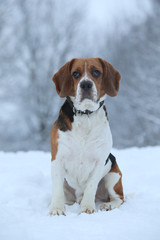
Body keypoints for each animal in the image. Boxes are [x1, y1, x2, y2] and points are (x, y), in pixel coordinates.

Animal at [49, 57, 124, 216]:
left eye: (96, 72)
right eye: (75, 74)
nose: (86, 84)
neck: (86, 115)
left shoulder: (99, 161)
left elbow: (91, 186)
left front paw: (88, 208)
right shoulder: (57, 158)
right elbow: (57, 188)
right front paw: (57, 209)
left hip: (113, 176)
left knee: (120, 198)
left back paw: (108, 205)